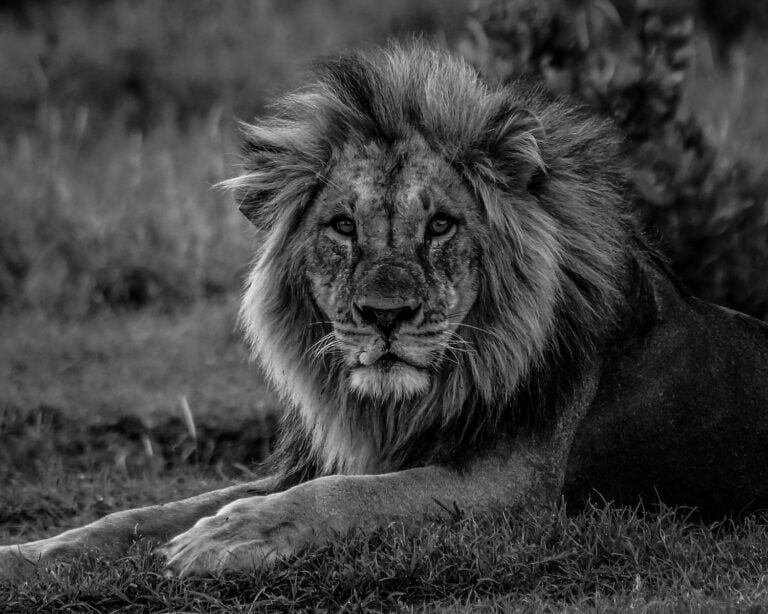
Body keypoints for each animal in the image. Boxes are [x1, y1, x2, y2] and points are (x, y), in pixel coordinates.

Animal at [1, 43, 768, 584]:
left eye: (441, 226)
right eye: (343, 226)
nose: (384, 316)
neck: (406, 406)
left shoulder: (516, 489)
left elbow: (349, 496)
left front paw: (231, 536)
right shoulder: (327, 457)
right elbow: (138, 515)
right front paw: (24, 554)